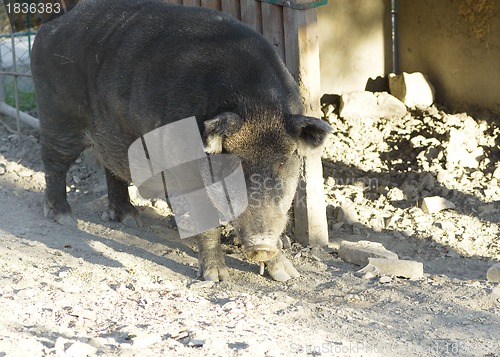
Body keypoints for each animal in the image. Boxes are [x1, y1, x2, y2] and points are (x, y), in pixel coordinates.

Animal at [29, 0, 330, 280]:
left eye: (282, 163)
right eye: (235, 165)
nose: (261, 246)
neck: (256, 103)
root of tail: (51, 25)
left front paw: (288, 275)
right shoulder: (184, 171)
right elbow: (206, 223)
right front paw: (215, 278)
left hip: (110, 134)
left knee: (110, 168)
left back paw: (130, 220)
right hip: (57, 116)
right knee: (54, 164)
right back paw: (65, 219)